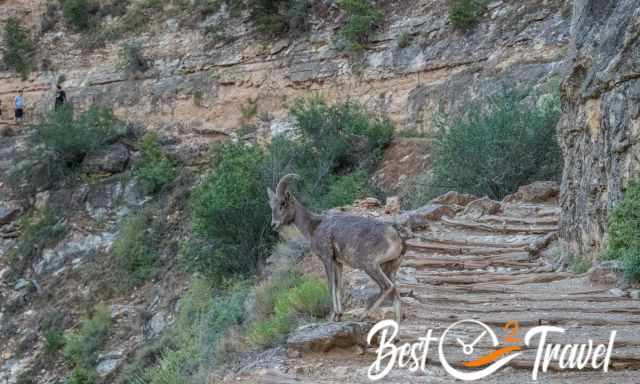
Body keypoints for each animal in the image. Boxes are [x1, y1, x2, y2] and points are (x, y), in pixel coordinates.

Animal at [266, 174, 404, 320]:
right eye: (272, 205)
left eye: (283, 203)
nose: (274, 224)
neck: (314, 227)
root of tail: (396, 238)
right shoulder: (338, 263)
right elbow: (338, 286)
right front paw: (339, 315)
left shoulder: (327, 258)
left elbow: (331, 285)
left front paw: (333, 315)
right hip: (389, 268)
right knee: (396, 294)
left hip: (370, 266)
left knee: (387, 286)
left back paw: (364, 314)